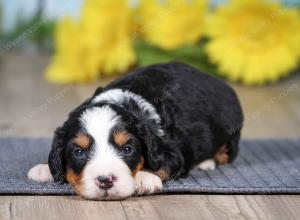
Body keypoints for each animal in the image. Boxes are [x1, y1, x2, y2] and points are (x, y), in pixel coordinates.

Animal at [28, 61, 244, 199]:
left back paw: (206, 162)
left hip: (229, 133)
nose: (105, 180)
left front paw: (144, 177)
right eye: (79, 152)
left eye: (127, 149)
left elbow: (162, 164)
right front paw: (44, 168)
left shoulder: (171, 149)